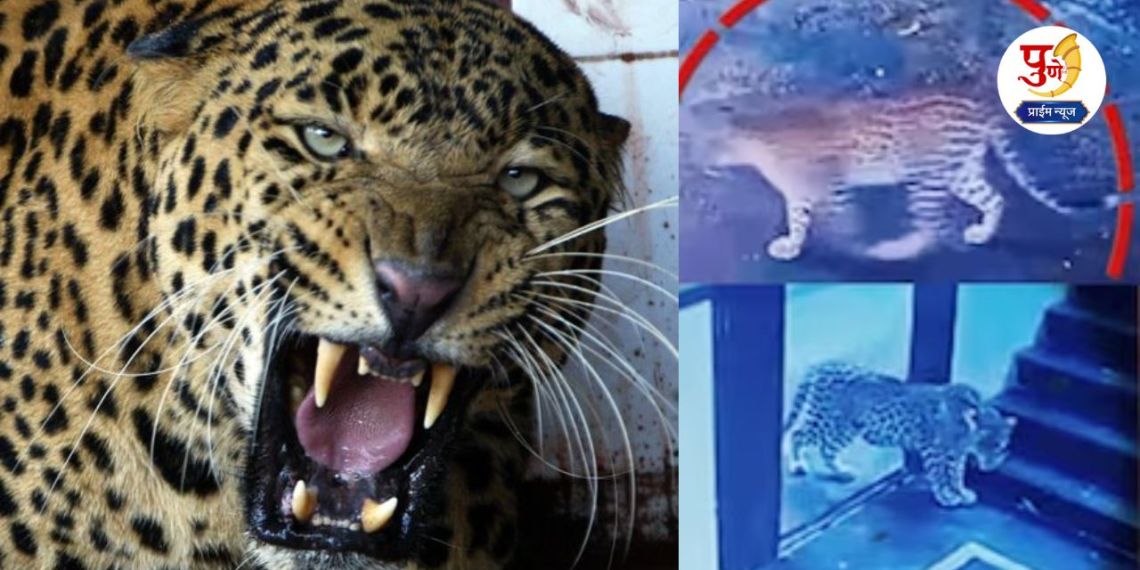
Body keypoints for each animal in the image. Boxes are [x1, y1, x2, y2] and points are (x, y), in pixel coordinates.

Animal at [784, 361, 1017, 507]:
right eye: (991, 444)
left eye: (1002, 446)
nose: (991, 466)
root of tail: (824, 365)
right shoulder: (933, 449)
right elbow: (940, 476)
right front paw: (945, 497)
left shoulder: (955, 454)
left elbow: (956, 475)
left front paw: (961, 492)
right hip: (831, 422)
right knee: (798, 434)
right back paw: (796, 464)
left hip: (846, 428)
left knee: (827, 450)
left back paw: (841, 471)